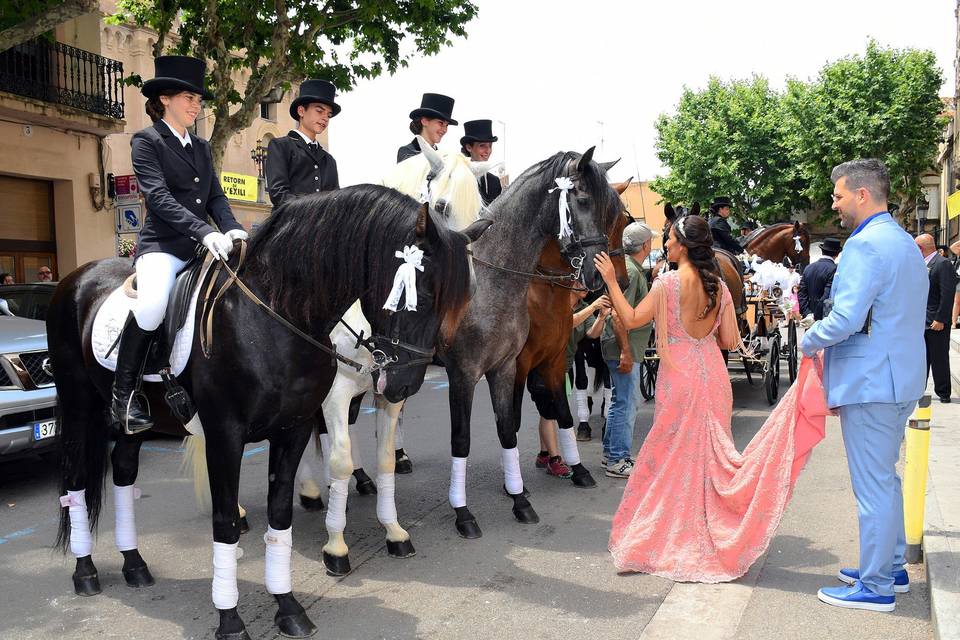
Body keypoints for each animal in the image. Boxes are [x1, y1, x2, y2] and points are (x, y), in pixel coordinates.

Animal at [47, 188, 488, 640]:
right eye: (421, 294)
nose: (404, 384)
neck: (272, 316)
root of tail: (77, 276)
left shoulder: (292, 430)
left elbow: (280, 517)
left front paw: (289, 608)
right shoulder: (227, 435)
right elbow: (225, 520)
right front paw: (230, 619)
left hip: (131, 426)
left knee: (123, 471)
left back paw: (134, 564)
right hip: (79, 405)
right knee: (76, 480)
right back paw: (85, 571)